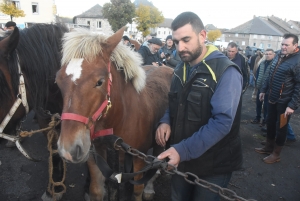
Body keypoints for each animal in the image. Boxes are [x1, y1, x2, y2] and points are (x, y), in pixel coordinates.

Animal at [56, 27, 173, 201]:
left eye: (99, 82)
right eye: (58, 80)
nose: (68, 150)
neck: (120, 118)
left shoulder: (138, 157)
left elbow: (137, 189)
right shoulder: (94, 153)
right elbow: (97, 190)